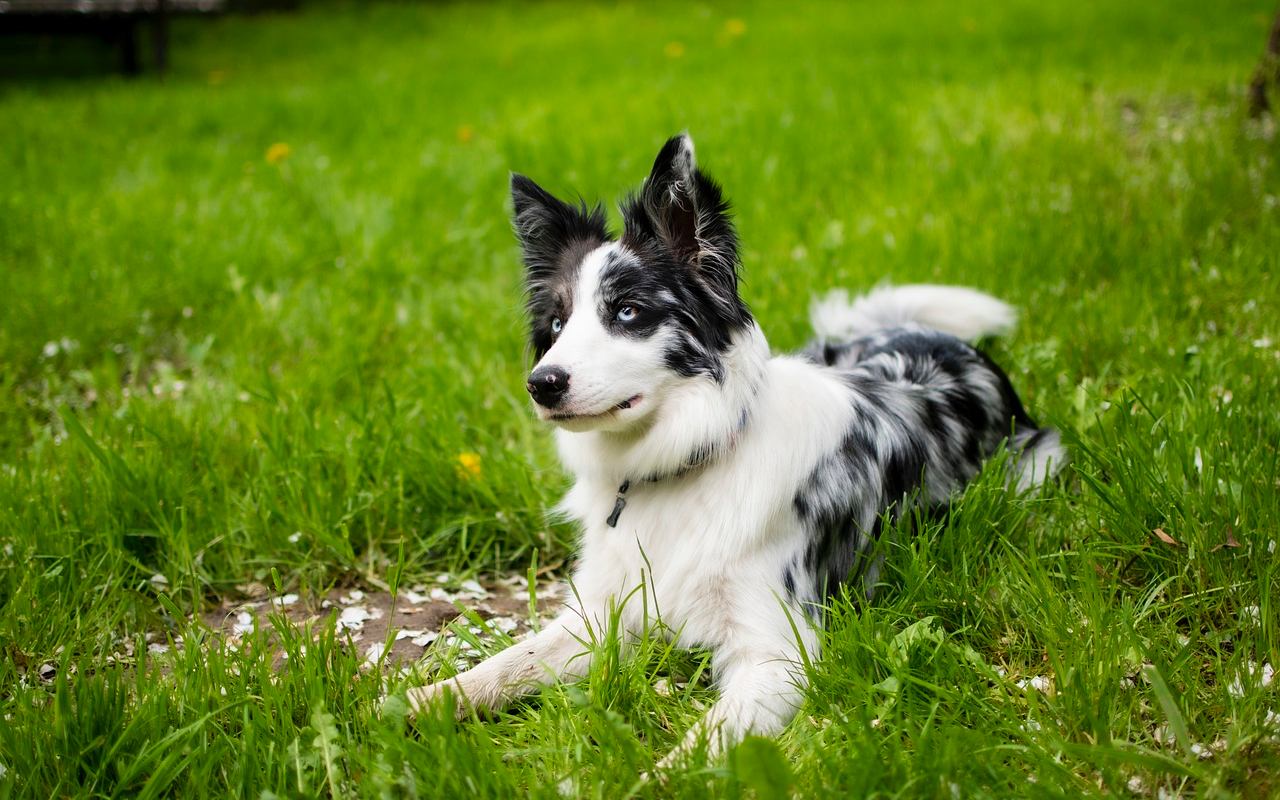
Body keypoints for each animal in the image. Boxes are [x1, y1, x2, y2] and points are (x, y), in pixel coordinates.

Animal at [404, 134, 1064, 762]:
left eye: (628, 311)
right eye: (559, 324)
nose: (542, 383)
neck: (677, 466)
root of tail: (934, 337)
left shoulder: (777, 654)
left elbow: (689, 756)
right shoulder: (599, 615)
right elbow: (501, 667)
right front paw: (407, 705)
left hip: (1035, 468)